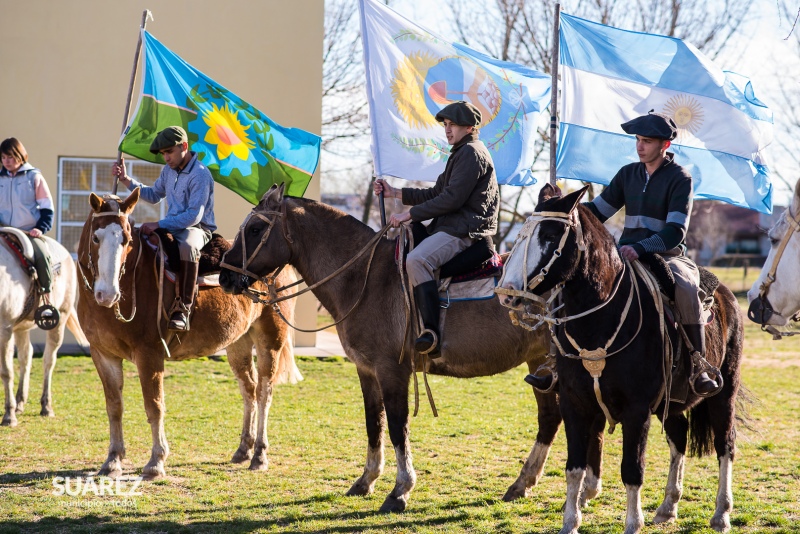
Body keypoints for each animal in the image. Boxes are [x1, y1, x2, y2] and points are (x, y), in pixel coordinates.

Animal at [0, 237, 87, 430]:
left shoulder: (5, 330)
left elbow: (7, 371)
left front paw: (9, 416)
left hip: (60, 319)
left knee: (48, 361)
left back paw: (46, 406)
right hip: (21, 327)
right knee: (26, 356)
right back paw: (20, 402)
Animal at [77, 192, 300, 482]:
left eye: (126, 239)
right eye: (96, 237)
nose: (107, 294)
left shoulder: (150, 355)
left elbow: (154, 405)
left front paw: (155, 462)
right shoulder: (103, 355)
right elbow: (114, 406)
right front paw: (113, 460)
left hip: (269, 340)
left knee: (264, 392)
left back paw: (259, 455)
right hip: (238, 343)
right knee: (248, 389)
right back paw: (243, 450)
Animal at [216, 185, 560, 516]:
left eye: (256, 229)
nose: (224, 276)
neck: (364, 280)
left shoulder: (392, 371)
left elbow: (397, 427)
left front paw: (400, 491)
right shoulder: (366, 370)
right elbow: (374, 424)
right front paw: (366, 480)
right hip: (540, 364)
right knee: (549, 420)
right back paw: (522, 484)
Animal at [500, 185, 744, 534]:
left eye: (549, 235)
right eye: (521, 233)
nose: (507, 292)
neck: (600, 321)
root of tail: (725, 294)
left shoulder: (636, 409)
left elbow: (632, 469)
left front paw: (632, 523)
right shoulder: (574, 403)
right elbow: (574, 468)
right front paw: (570, 522)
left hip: (724, 392)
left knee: (725, 445)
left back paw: (721, 513)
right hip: (672, 401)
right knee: (679, 438)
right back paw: (668, 507)